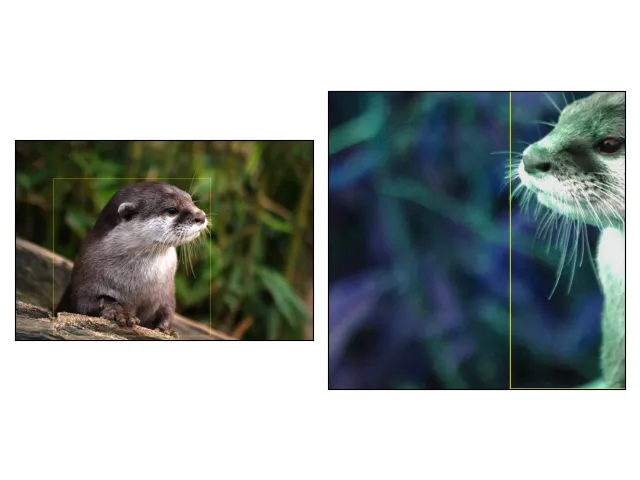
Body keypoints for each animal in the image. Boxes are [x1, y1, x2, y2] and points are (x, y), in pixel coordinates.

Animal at [55, 182, 208, 336]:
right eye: (172, 210)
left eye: (191, 200)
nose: (201, 216)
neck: (141, 283)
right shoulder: (86, 279)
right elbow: (91, 303)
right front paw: (121, 313)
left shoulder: (167, 291)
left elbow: (168, 310)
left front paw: (166, 330)